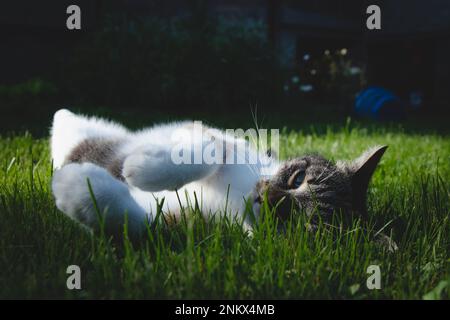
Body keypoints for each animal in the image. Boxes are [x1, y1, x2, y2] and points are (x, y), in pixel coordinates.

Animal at [51, 109, 388, 244]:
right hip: (103, 138)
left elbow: (138, 224)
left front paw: (80, 190)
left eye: (301, 224)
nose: (263, 197)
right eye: (298, 178)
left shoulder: (182, 224)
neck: (234, 199)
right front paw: (144, 169)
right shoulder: (211, 134)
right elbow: (209, 149)